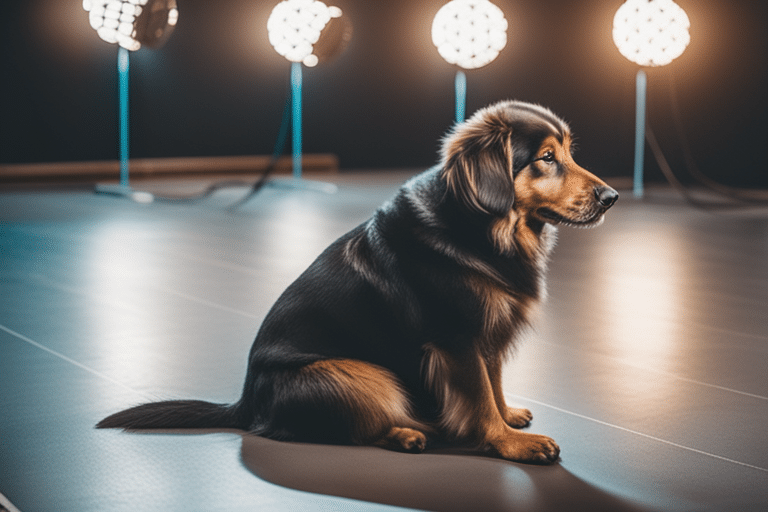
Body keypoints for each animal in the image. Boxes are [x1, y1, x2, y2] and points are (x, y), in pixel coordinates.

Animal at [97, 100, 616, 464]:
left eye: (569, 152)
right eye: (546, 158)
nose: (610, 196)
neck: (486, 227)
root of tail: (245, 403)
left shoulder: (489, 331)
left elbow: (495, 382)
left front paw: (509, 417)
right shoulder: (456, 339)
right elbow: (479, 396)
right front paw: (508, 442)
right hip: (362, 374)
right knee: (341, 426)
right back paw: (406, 433)